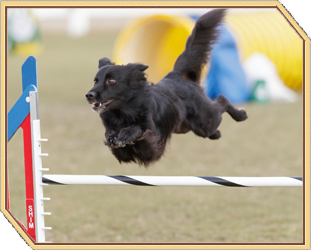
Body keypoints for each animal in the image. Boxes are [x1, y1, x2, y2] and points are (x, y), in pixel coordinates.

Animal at [86, 9, 247, 166]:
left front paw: (124, 134)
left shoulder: (153, 142)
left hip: (204, 121)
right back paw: (218, 133)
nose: (89, 95)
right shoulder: (122, 151)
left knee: (222, 100)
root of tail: (175, 74)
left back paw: (241, 115)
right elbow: (112, 138)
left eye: (111, 81)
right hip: (187, 127)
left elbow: (137, 129)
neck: (123, 113)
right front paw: (114, 136)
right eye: (95, 81)